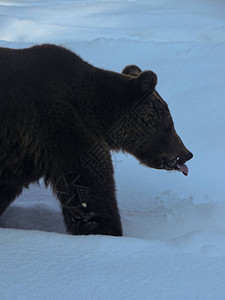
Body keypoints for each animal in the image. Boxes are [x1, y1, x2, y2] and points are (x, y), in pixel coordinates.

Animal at [0, 44, 192, 237]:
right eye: (168, 126)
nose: (187, 154)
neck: (99, 117)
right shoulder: (61, 129)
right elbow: (89, 191)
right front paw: (106, 230)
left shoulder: (22, 155)